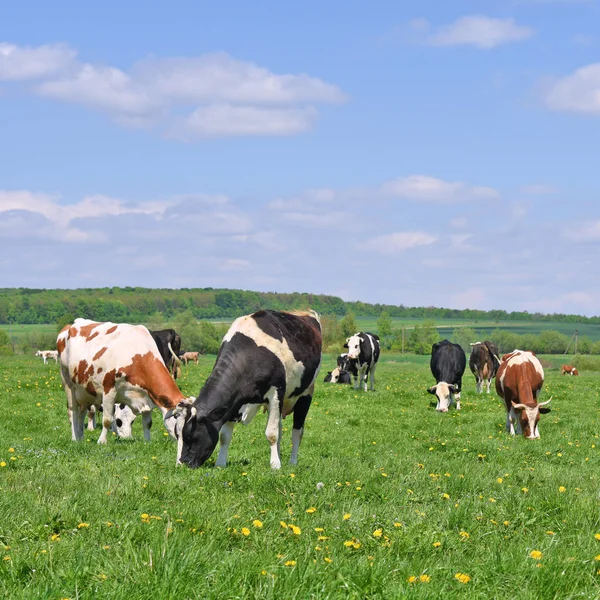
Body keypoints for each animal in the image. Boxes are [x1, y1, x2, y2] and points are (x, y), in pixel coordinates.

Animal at [56, 318, 192, 440]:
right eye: (177, 418)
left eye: (132, 421)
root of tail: (70, 325)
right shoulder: (109, 389)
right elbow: (107, 419)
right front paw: (102, 441)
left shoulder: (146, 395)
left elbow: (147, 423)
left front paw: (147, 442)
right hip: (68, 383)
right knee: (72, 411)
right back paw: (75, 438)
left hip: (84, 390)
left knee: (82, 412)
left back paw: (81, 437)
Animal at [164, 312, 324, 472]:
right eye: (177, 434)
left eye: (191, 436)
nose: (181, 464)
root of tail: (306, 314)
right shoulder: (233, 401)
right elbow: (225, 436)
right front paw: (220, 463)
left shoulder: (275, 393)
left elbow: (272, 434)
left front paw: (275, 465)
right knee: (279, 426)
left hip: (306, 393)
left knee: (297, 431)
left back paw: (292, 461)